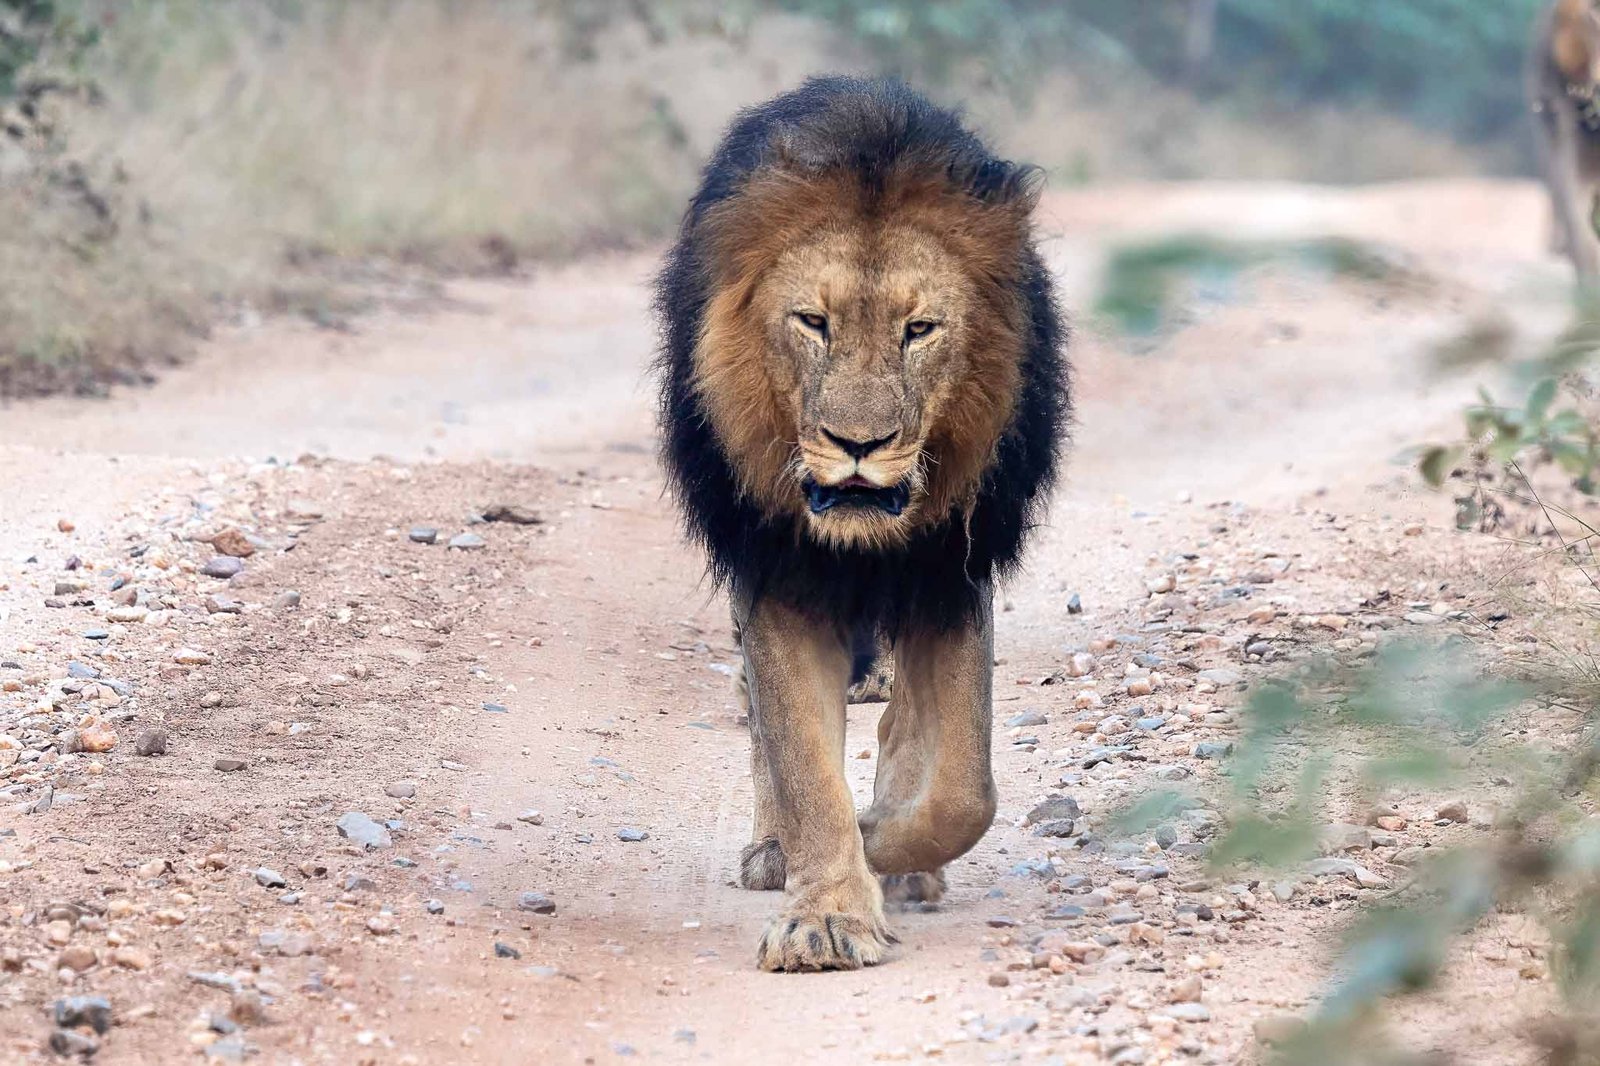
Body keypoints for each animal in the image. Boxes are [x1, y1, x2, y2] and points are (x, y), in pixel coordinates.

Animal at [655, 76, 1069, 972]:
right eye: (813, 323)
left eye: (920, 330)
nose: (857, 445)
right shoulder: (778, 574)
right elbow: (803, 766)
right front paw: (827, 916)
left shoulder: (951, 569)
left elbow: (964, 788)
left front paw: (883, 840)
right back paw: (776, 851)